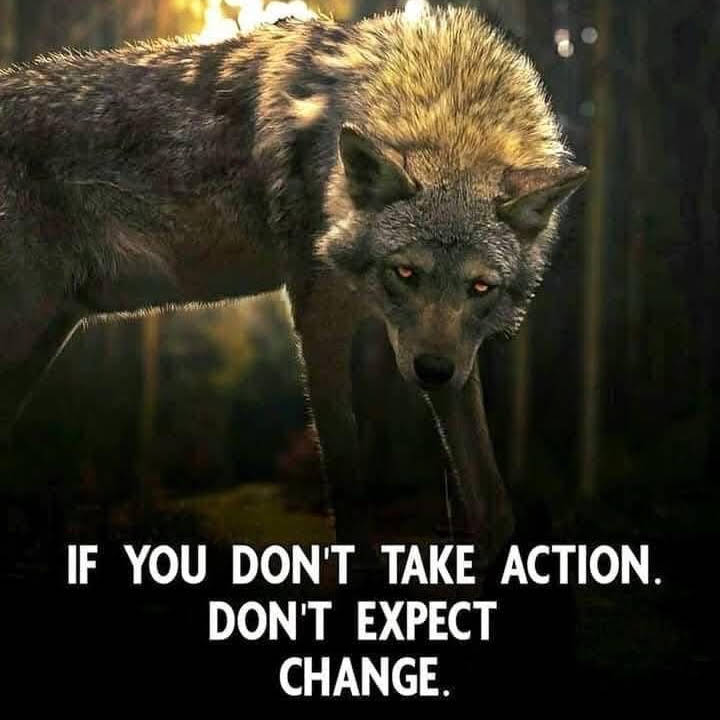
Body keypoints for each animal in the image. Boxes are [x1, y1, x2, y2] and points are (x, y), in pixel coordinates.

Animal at [0, 7, 585, 556]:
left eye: (480, 288)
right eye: (405, 273)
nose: (432, 372)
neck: (442, 106)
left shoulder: (453, 356)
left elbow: (493, 506)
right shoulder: (316, 312)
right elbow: (348, 496)